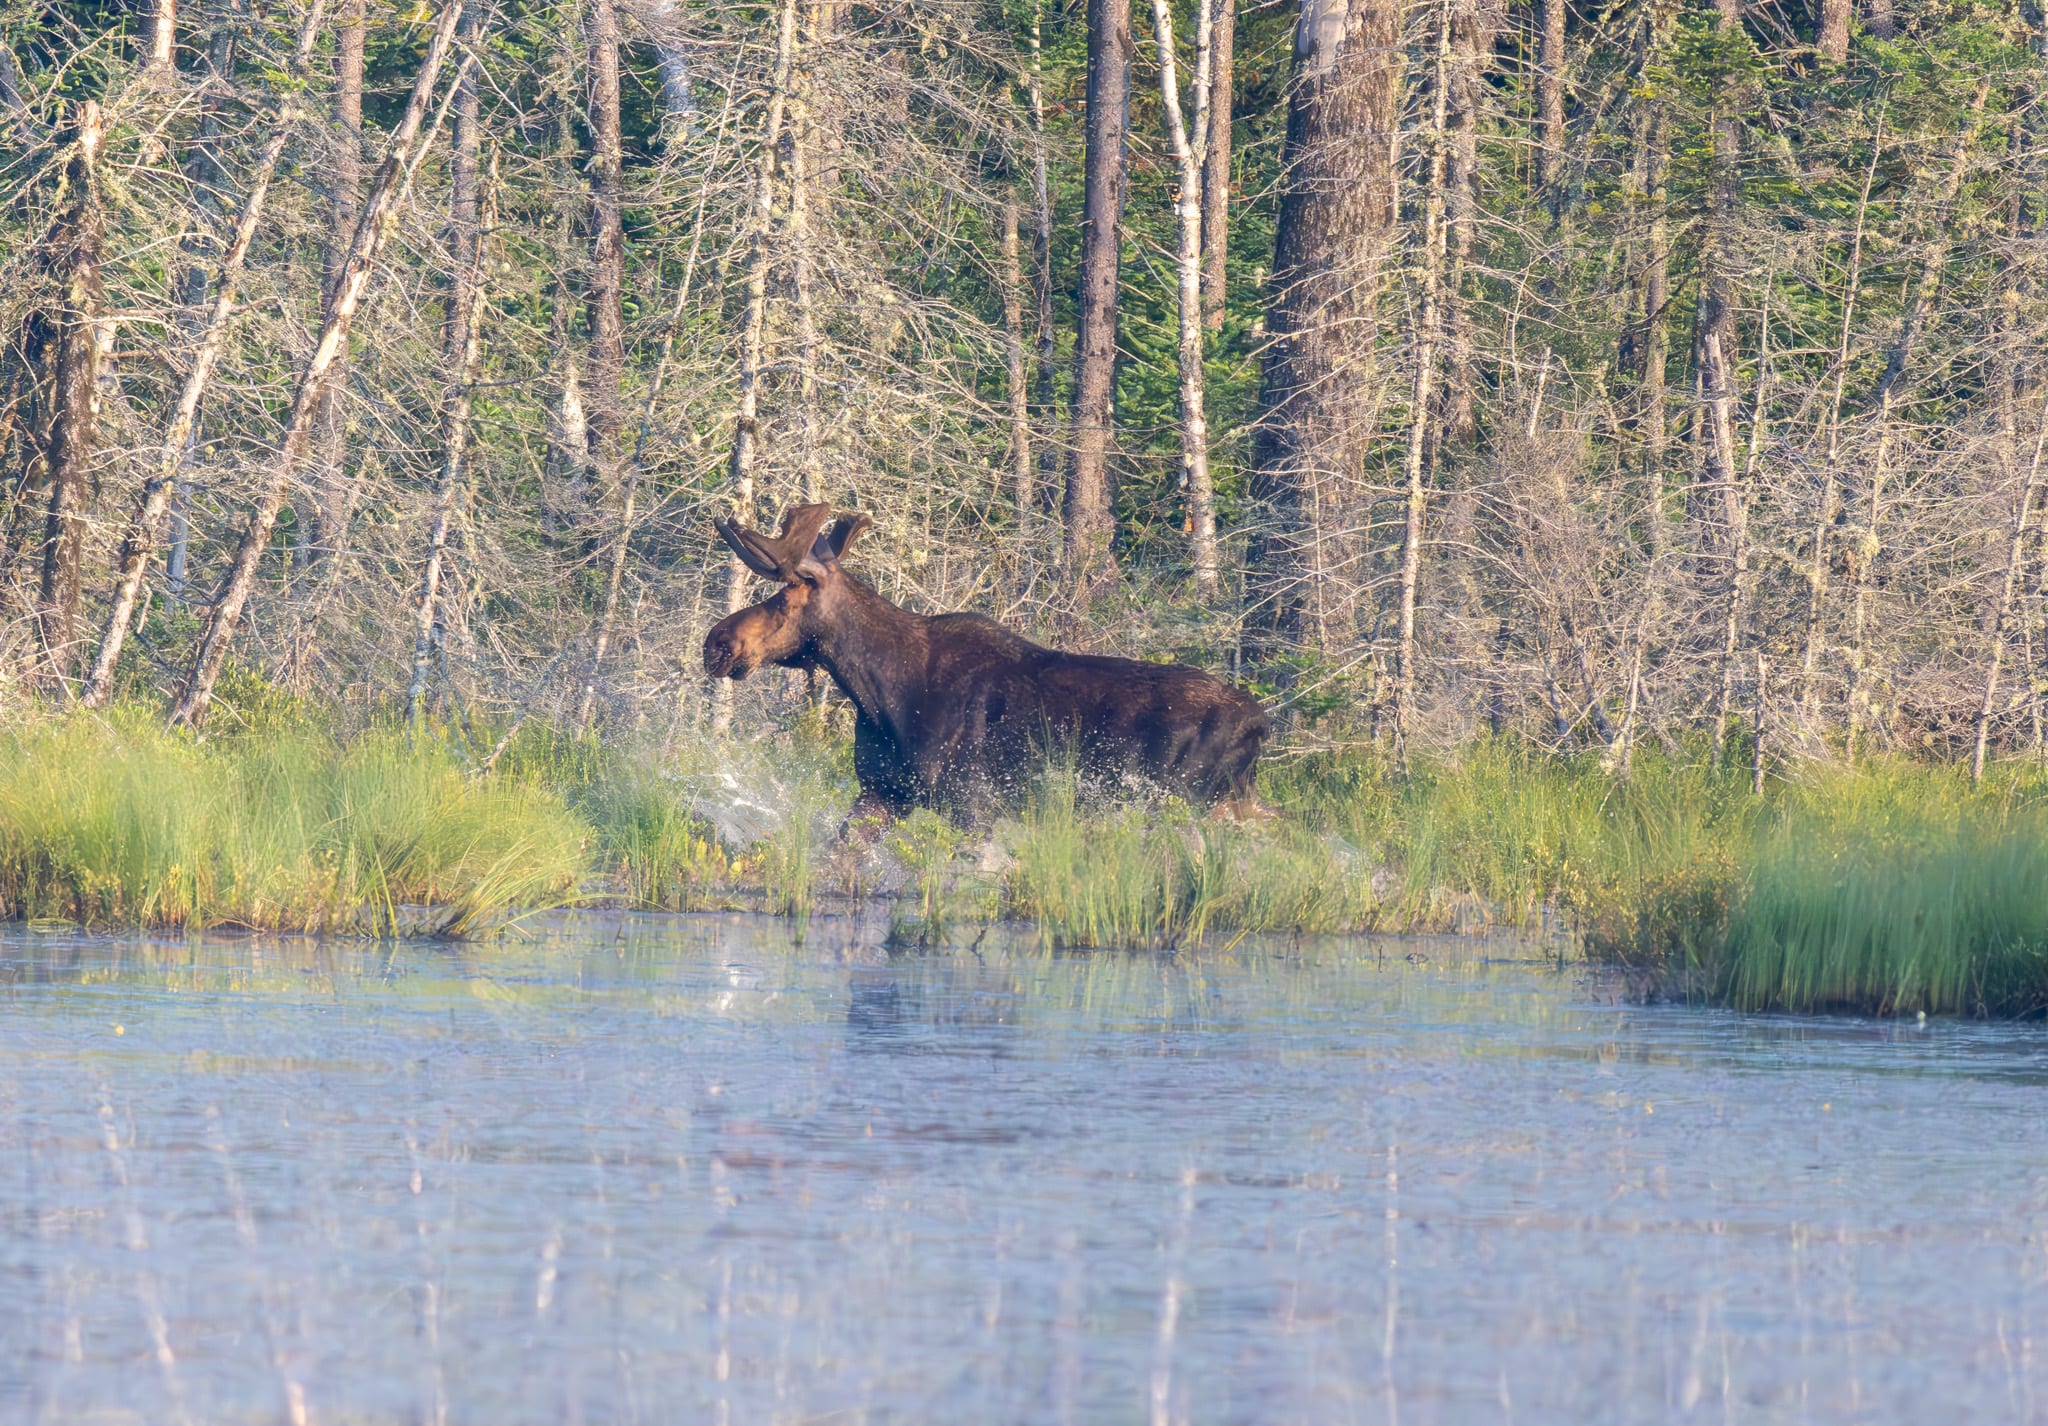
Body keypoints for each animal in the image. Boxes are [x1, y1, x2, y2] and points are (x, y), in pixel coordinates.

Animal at [700, 504, 1261, 823]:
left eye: (784, 595)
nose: (716, 642)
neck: (879, 694)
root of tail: (1263, 723)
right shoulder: (882, 792)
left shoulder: (973, 803)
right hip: (1232, 801)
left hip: (1183, 798)